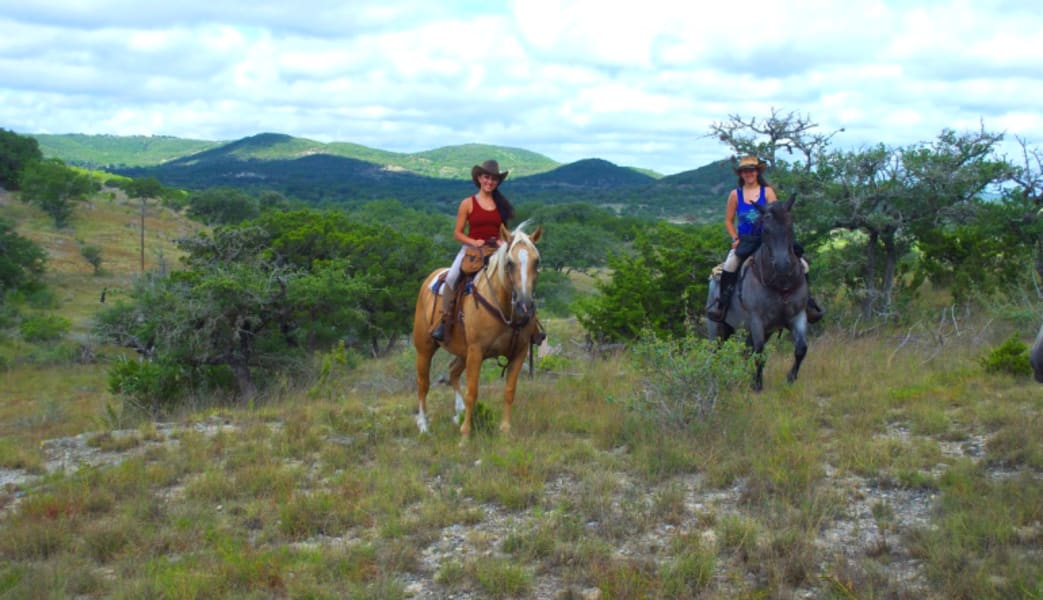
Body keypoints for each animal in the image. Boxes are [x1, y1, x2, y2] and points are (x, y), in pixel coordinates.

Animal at [415, 223, 546, 438]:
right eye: (509, 263)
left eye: (537, 262)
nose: (525, 305)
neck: (504, 308)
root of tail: (432, 276)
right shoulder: (476, 352)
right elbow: (472, 392)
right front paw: (465, 435)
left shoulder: (518, 353)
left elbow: (509, 391)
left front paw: (505, 431)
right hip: (424, 349)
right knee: (423, 384)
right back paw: (424, 426)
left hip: (462, 351)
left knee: (453, 372)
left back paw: (457, 413)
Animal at [705, 197, 809, 392]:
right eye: (765, 230)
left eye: (790, 227)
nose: (783, 266)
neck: (780, 285)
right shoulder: (756, 320)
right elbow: (759, 353)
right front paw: (757, 385)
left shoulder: (798, 315)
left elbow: (801, 348)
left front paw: (790, 378)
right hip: (718, 328)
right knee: (716, 353)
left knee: (746, 352)